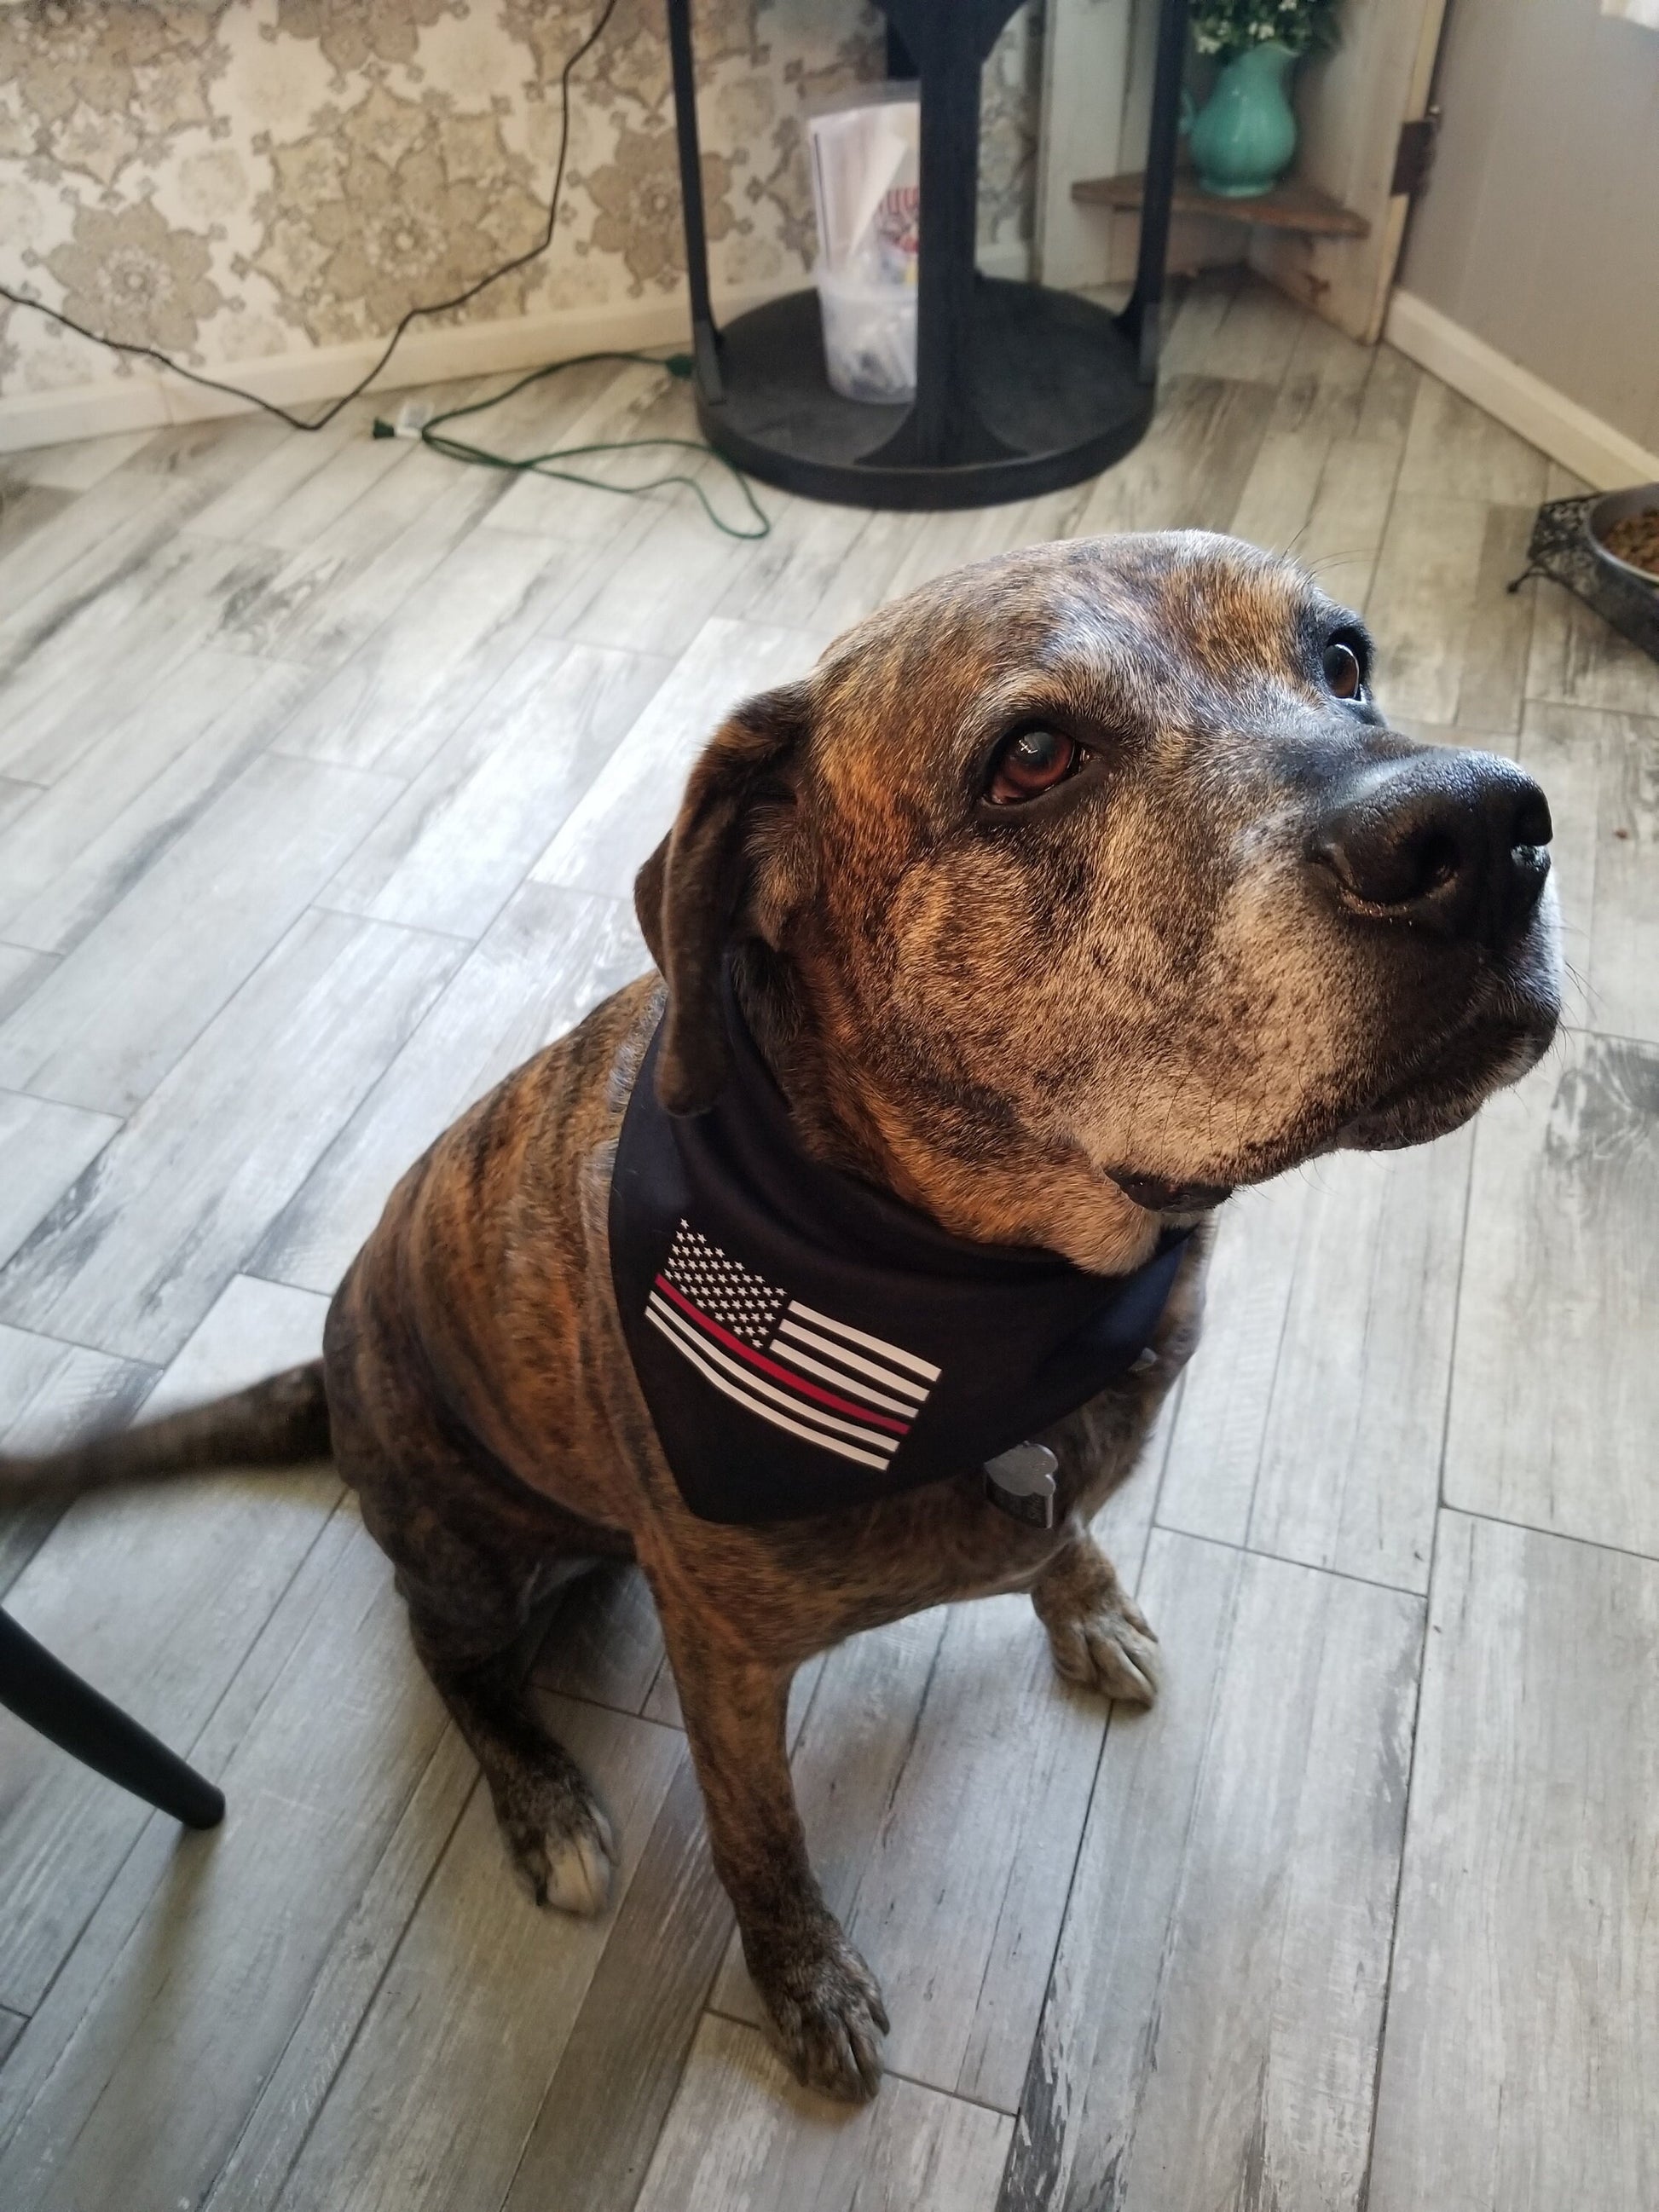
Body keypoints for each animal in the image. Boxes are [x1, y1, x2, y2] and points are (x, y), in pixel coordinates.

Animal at [3, 530, 1557, 2088]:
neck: (989, 1298)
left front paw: (1087, 1599)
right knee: (447, 1659)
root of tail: (330, 1373)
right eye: (1032, 757)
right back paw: (543, 1801)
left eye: (1343, 660)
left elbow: (1063, 1533)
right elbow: (759, 1835)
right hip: (461, 1548)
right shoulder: (726, 1661)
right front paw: (803, 1979)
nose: (1485, 830)